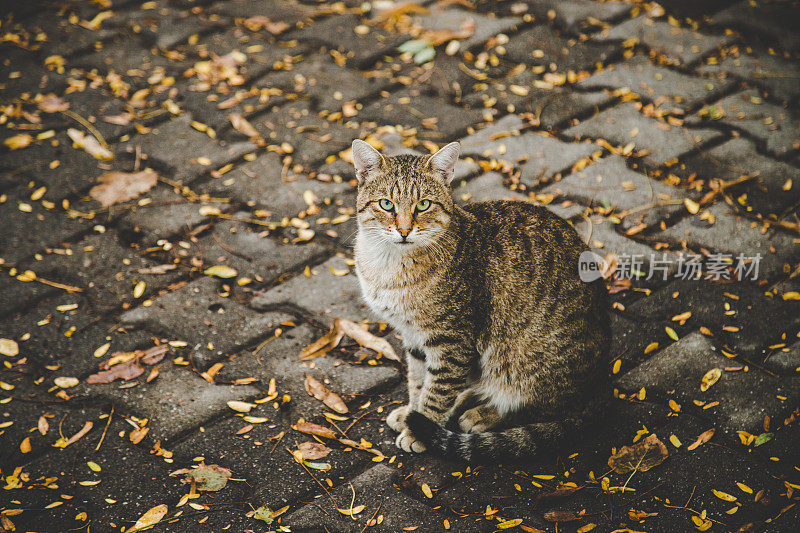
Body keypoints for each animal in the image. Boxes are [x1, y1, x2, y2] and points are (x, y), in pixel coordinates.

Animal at [354, 138, 608, 462]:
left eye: (423, 204)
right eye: (386, 204)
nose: (404, 230)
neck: (388, 264)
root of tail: (600, 386)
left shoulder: (451, 341)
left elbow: (436, 391)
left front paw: (418, 429)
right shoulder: (412, 337)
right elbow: (418, 380)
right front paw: (412, 412)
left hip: (521, 360)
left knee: (530, 408)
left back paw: (481, 414)